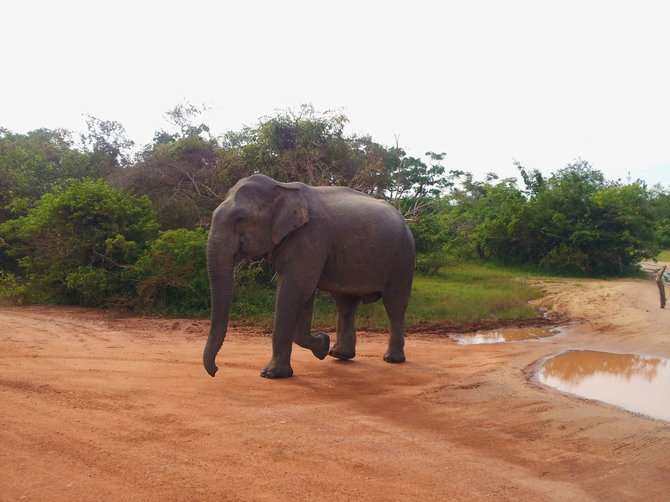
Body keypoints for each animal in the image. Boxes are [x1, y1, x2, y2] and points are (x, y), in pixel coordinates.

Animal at [202, 175, 418, 378]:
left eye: (239, 218)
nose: (216, 371)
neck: (281, 187)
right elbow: (302, 292)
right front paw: (323, 346)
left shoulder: (312, 237)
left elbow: (295, 290)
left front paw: (271, 374)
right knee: (345, 303)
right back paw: (339, 355)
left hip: (403, 256)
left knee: (395, 303)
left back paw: (392, 359)